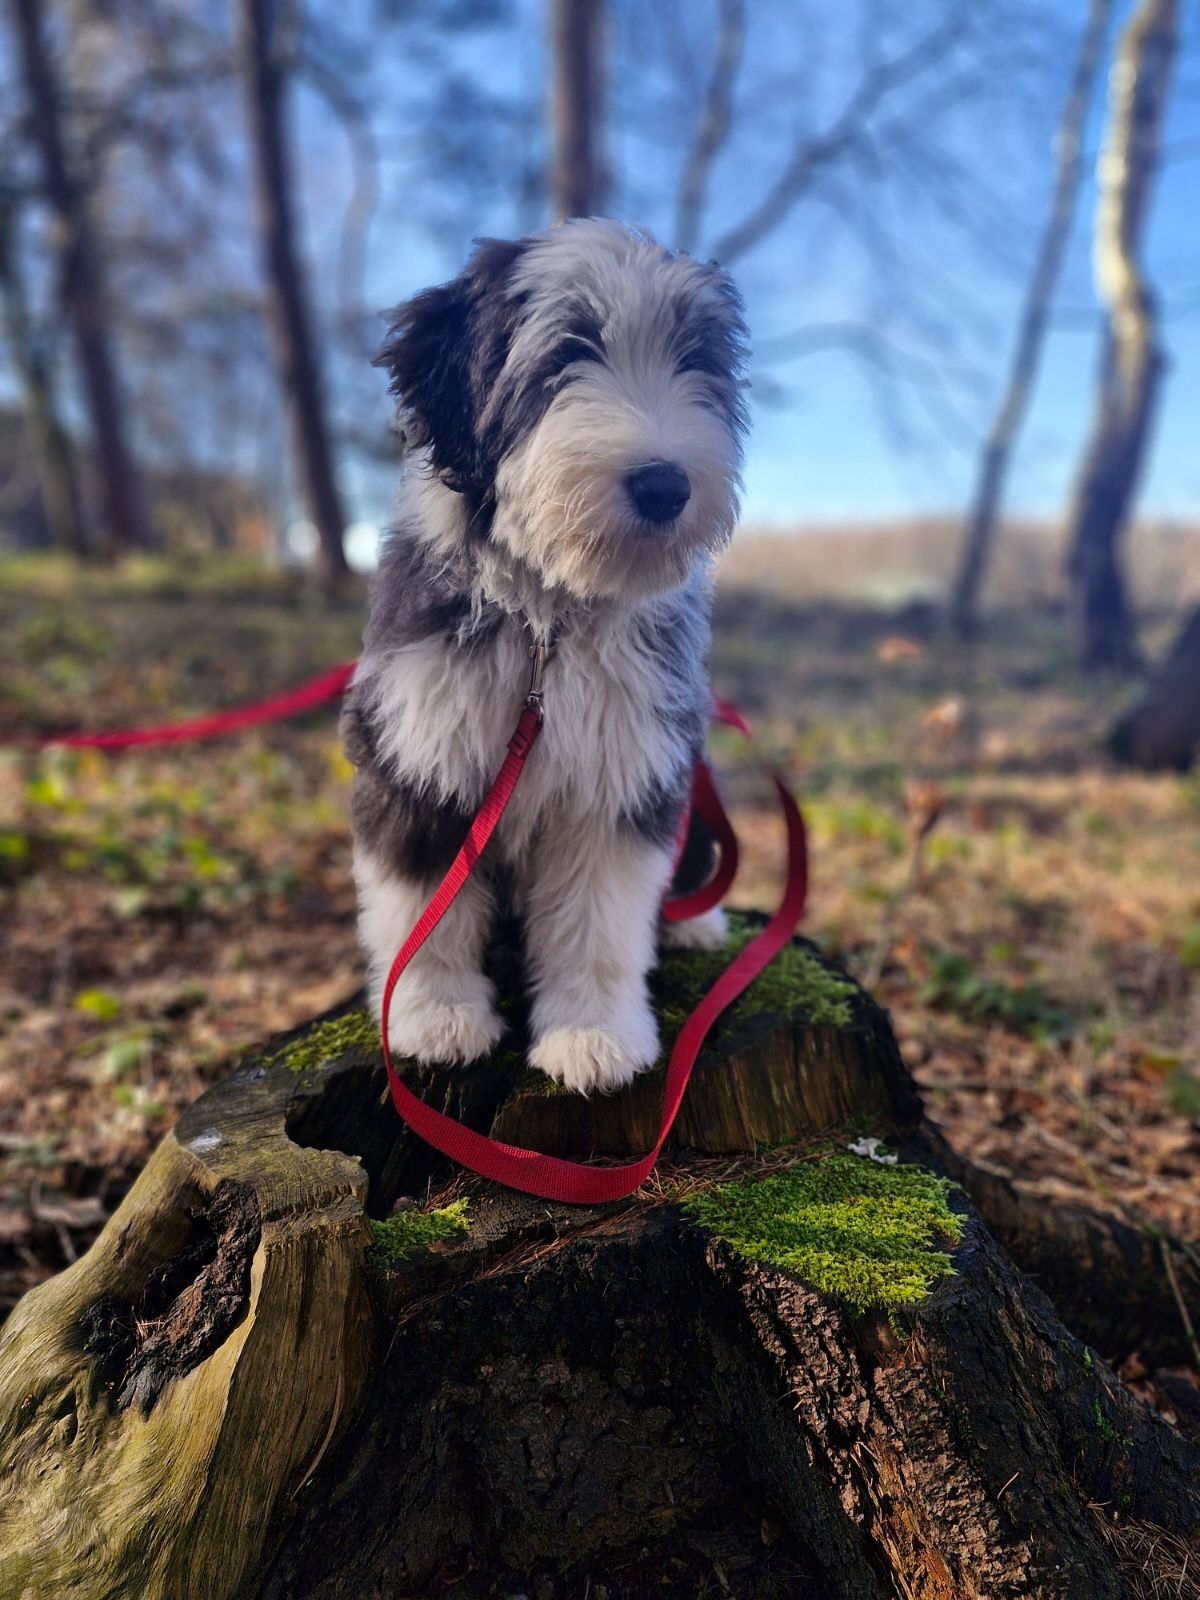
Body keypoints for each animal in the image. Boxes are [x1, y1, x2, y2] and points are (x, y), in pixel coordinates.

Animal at [342, 222, 748, 1100]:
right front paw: (435, 1019)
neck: (546, 621)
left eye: (694, 360)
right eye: (567, 354)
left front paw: (593, 1037)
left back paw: (696, 920)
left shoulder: (624, 770)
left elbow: (598, 918)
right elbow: (419, 904)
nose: (666, 485)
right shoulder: (416, 750)